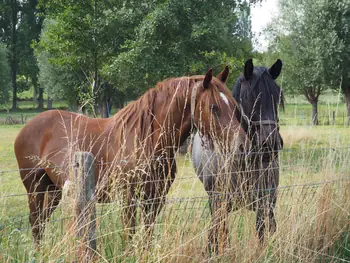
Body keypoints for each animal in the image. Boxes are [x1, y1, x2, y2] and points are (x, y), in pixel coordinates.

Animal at [15, 67, 247, 248]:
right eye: (214, 107)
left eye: (234, 106)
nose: (242, 146)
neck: (145, 138)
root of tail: (27, 127)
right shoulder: (128, 198)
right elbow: (130, 235)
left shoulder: (154, 199)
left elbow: (146, 237)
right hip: (35, 188)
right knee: (36, 224)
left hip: (53, 190)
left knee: (41, 223)